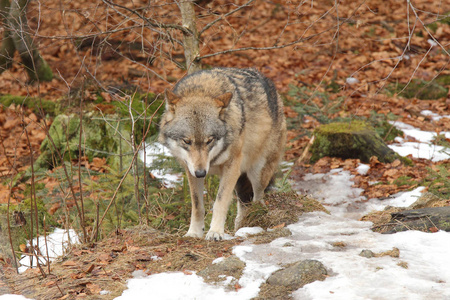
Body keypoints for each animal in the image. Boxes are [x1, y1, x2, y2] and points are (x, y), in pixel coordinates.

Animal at [159, 67, 284, 240]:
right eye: (187, 141)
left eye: (209, 140)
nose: (201, 173)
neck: (201, 90)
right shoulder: (190, 170)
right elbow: (197, 206)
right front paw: (194, 232)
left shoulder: (232, 166)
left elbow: (220, 202)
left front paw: (215, 232)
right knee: (244, 203)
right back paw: (241, 226)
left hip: (257, 172)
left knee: (258, 199)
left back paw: (255, 222)